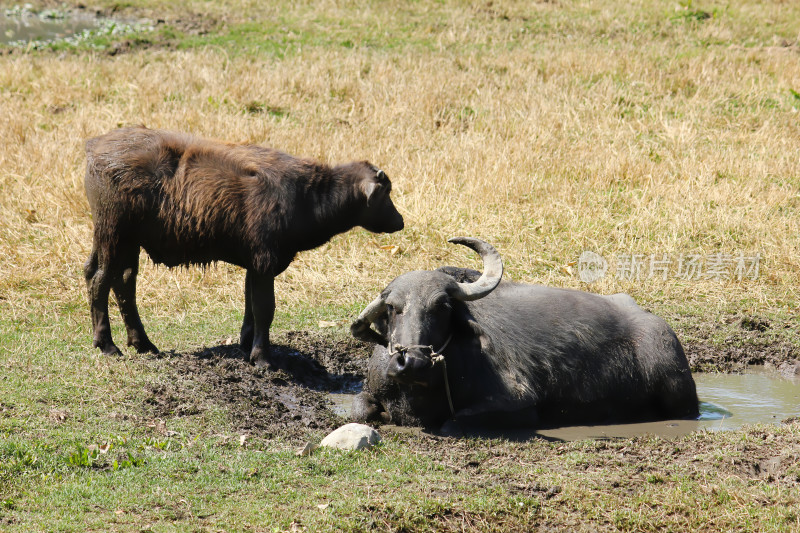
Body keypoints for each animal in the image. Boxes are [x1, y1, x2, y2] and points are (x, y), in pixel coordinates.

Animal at [84, 125, 404, 366]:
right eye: (385, 193)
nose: (400, 221)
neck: (308, 195)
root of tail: (94, 146)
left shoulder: (255, 265)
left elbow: (250, 307)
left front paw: (246, 344)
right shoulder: (264, 263)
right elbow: (265, 309)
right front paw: (262, 358)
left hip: (123, 241)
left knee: (120, 281)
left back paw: (143, 343)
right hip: (113, 234)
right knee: (101, 280)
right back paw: (107, 345)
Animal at [352, 239, 700, 430]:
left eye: (442, 306)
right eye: (392, 308)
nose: (412, 362)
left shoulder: (519, 403)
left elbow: (453, 422)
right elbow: (360, 409)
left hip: (678, 390)